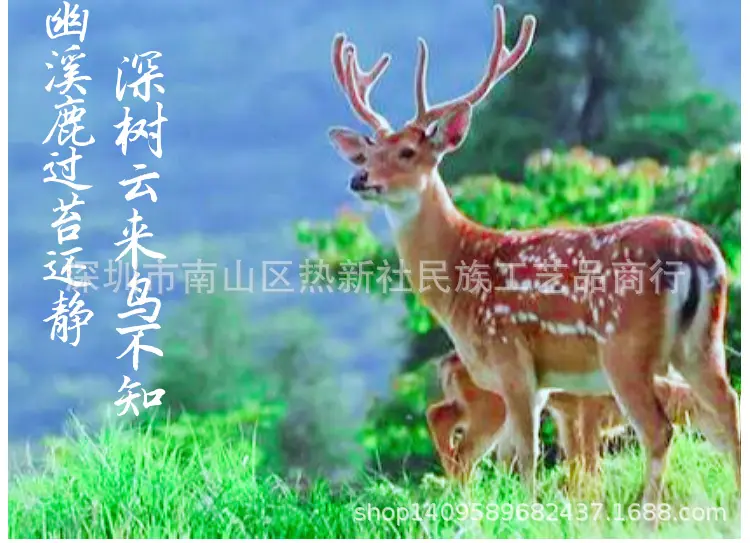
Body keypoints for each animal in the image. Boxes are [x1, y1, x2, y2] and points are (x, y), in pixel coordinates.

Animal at [427, 350, 719, 497]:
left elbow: (575, 461)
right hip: (493, 407)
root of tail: (446, 363)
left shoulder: (568, 414)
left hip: (477, 405)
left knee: (439, 415)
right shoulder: (586, 408)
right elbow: (589, 461)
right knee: (463, 452)